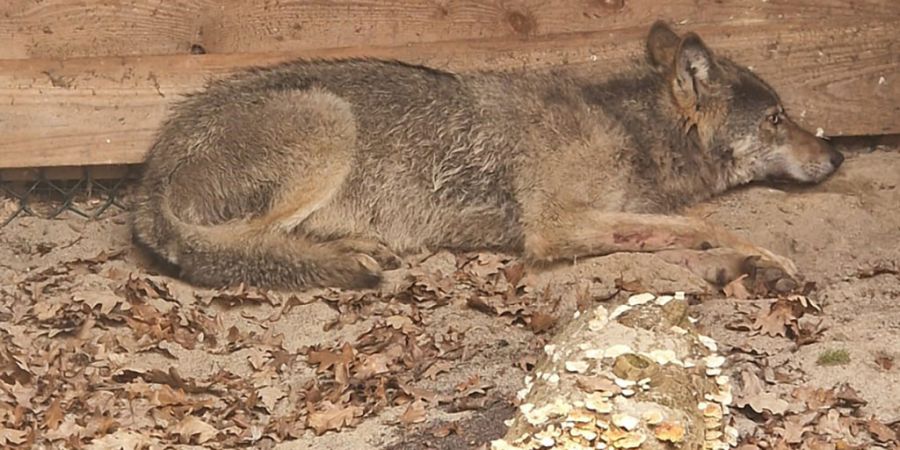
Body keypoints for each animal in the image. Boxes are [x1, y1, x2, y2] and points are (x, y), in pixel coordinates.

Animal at [132, 21, 844, 292]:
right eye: (778, 119)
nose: (837, 154)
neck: (626, 127)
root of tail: (148, 176)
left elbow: (674, 232)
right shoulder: (553, 227)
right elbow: (703, 224)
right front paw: (764, 258)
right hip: (329, 122)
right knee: (238, 247)